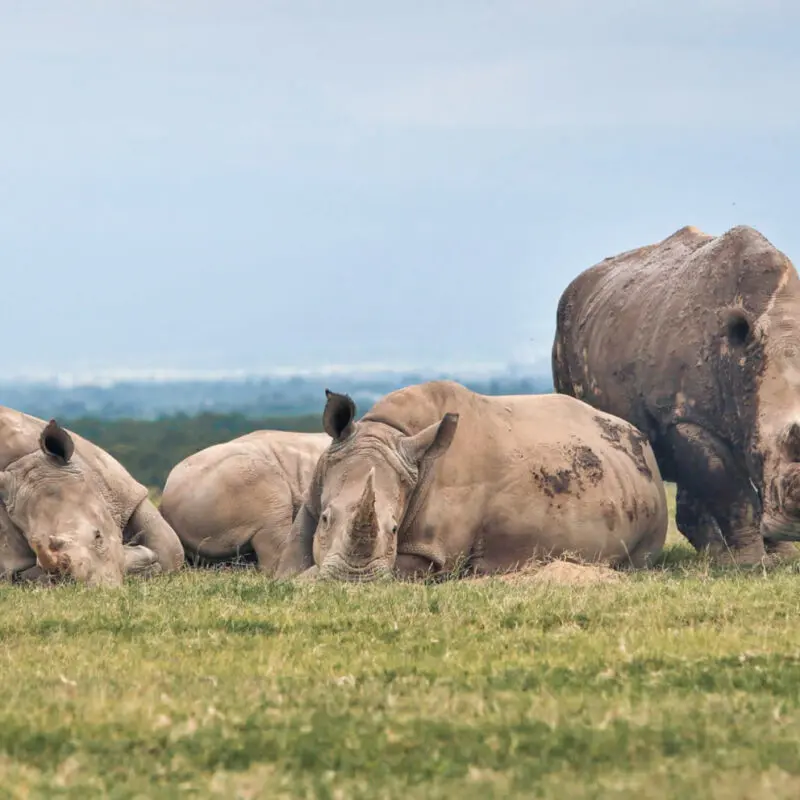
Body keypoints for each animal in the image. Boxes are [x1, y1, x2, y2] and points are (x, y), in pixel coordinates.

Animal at [275, 380, 668, 582]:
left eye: (394, 529)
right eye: (327, 518)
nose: (353, 580)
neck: (387, 432)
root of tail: (643, 442)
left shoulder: (434, 554)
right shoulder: (313, 497)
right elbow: (287, 566)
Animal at [552, 224, 800, 564]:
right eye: (757, 450)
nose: (796, 525)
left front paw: (783, 558)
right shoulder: (684, 417)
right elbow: (734, 491)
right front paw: (752, 563)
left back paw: (714, 557)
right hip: (564, 337)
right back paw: (718, 558)